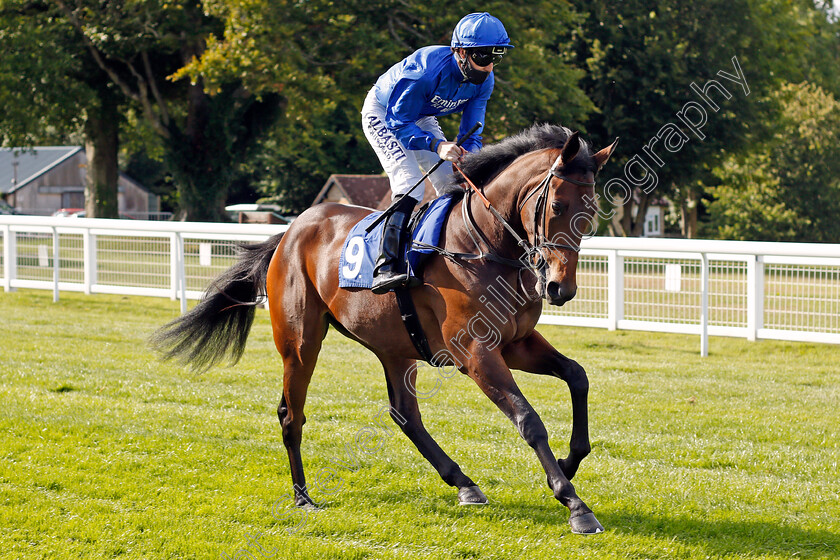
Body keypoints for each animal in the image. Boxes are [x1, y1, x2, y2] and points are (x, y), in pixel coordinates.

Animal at [153, 124, 616, 536]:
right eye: (556, 206)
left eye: (591, 212)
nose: (560, 288)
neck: (481, 244)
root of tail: (289, 231)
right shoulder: (475, 352)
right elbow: (528, 419)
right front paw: (575, 504)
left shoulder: (516, 342)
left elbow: (577, 375)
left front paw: (571, 460)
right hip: (300, 342)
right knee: (291, 413)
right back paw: (303, 497)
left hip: (395, 346)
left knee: (404, 413)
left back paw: (463, 483)